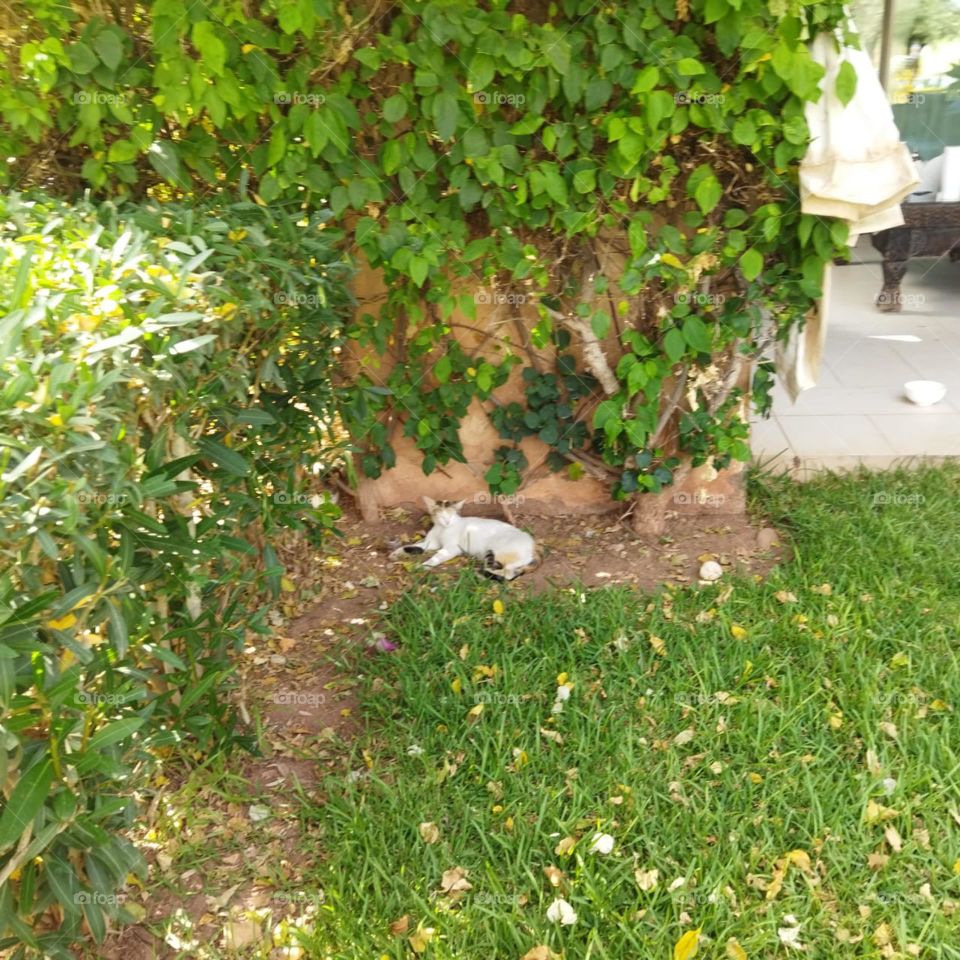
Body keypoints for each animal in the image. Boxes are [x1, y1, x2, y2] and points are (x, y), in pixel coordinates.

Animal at [390, 498, 540, 580]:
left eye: (452, 515)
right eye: (441, 515)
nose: (447, 521)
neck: (442, 529)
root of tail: (534, 545)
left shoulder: (451, 549)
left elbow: (435, 558)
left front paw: (423, 566)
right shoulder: (430, 543)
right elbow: (410, 546)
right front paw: (395, 554)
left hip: (499, 553)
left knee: (507, 574)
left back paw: (477, 573)